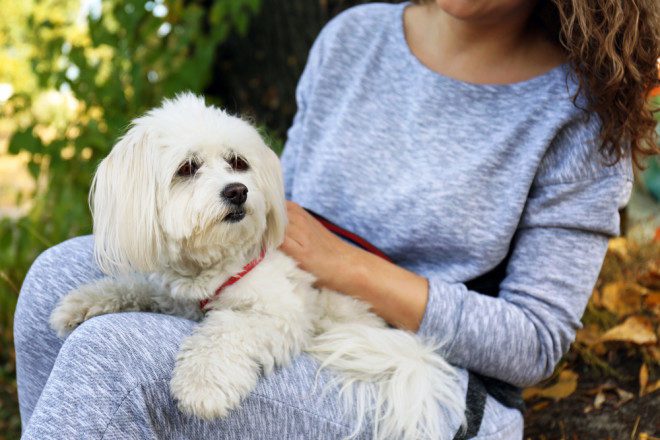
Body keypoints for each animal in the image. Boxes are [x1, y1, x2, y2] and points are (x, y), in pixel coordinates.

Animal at [50, 94, 464, 438]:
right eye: (187, 168)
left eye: (238, 162)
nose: (238, 190)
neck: (216, 262)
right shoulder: (174, 295)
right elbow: (137, 286)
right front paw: (84, 303)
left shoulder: (281, 314)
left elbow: (228, 330)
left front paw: (201, 385)